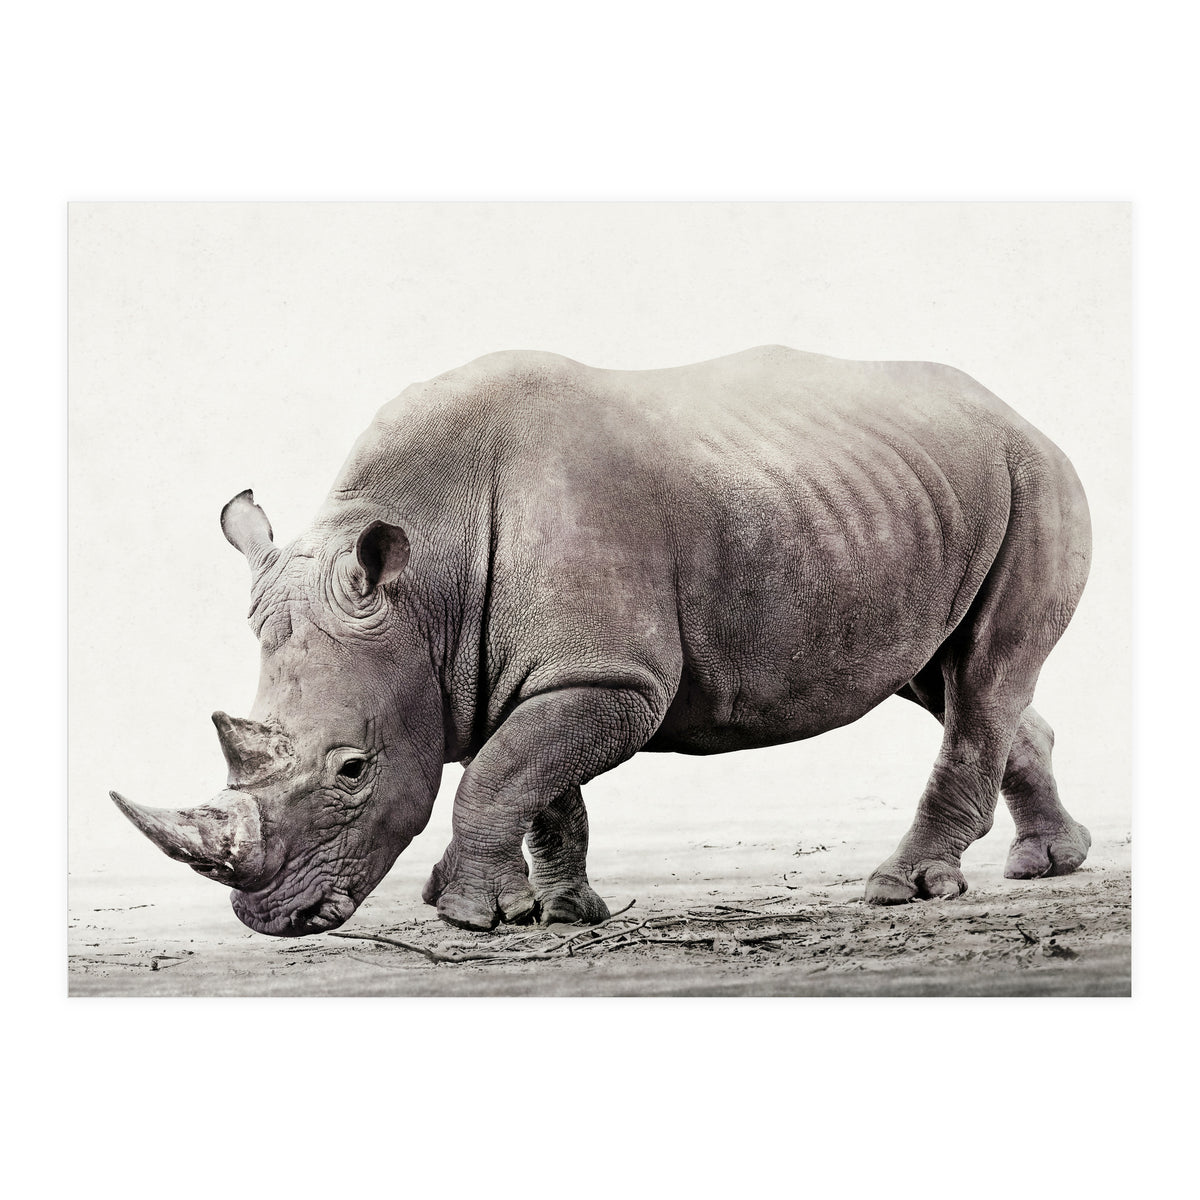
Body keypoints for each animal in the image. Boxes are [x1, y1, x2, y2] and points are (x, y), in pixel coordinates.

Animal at [111, 346, 1093, 936]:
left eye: (352, 769)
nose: (270, 918)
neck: (426, 582)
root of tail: (1016, 411)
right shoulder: (549, 670)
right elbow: (540, 784)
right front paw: (561, 911)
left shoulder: (611, 676)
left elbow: (502, 774)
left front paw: (468, 917)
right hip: (907, 498)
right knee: (947, 677)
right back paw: (1048, 864)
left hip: (1035, 477)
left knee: (982, 676)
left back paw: (905, 888)